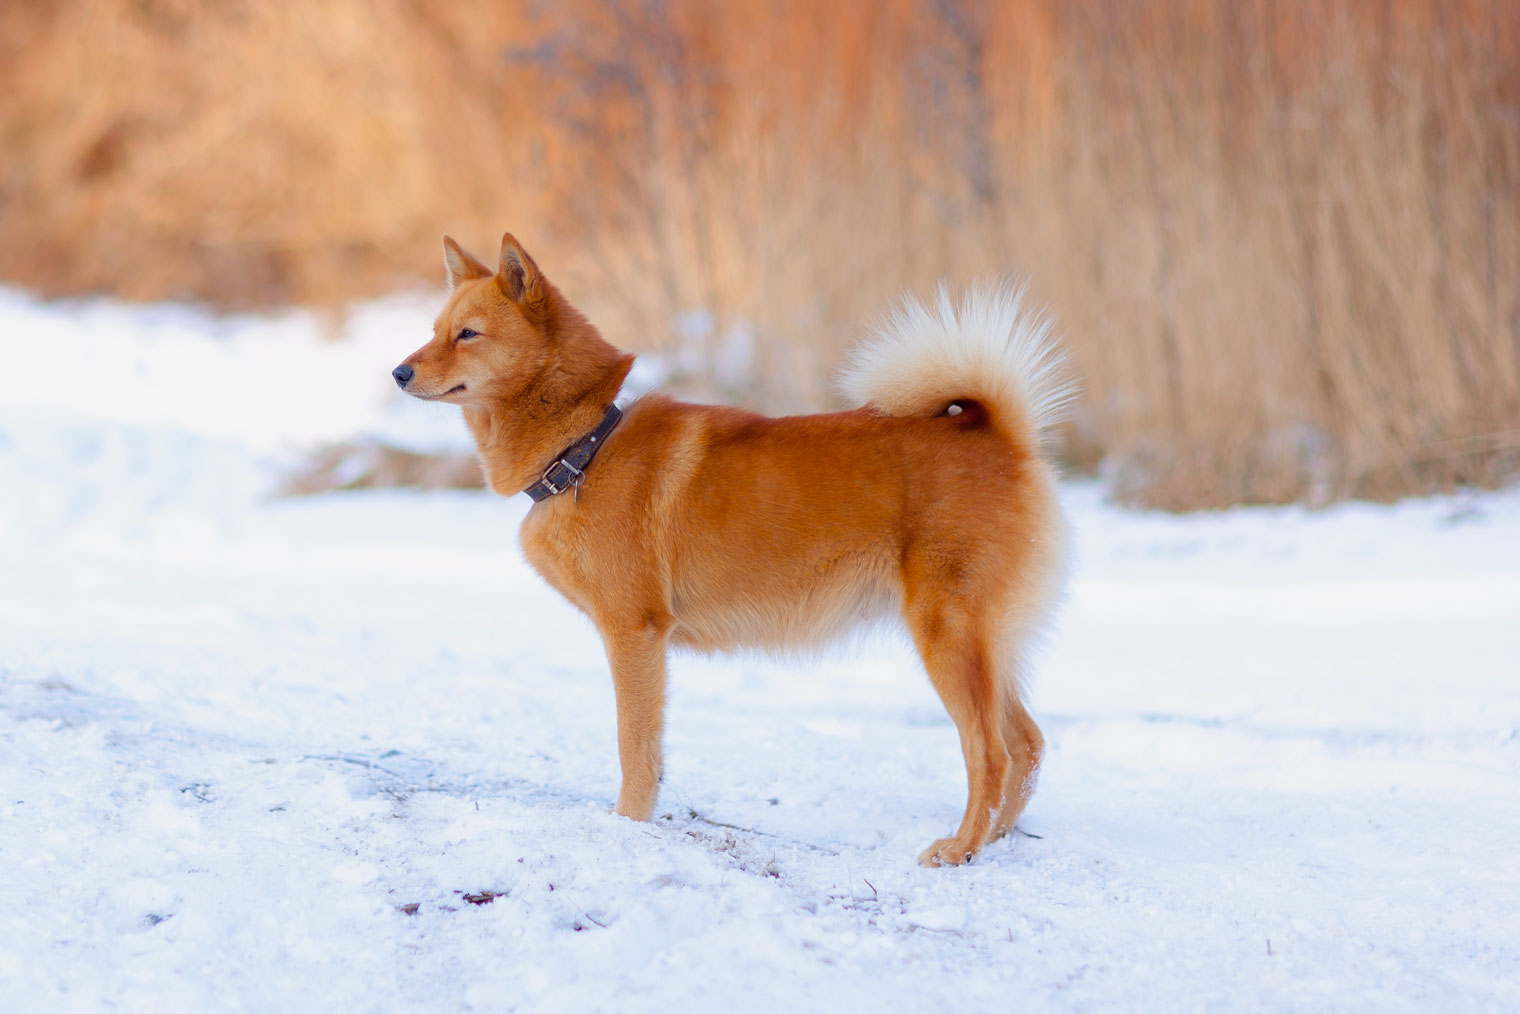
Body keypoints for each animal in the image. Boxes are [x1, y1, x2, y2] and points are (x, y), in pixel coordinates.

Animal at [392, 235, 1070, 863]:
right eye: (434, 331)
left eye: (468, 334)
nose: (398, 373)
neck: (585, 447)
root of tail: (996, 432)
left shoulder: (635, 634)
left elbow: (635, 747)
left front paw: (629, 826)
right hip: (984, 647)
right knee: (1028, 745)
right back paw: (994, 839)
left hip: (948, 638)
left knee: (991, 754)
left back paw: (960, 849)